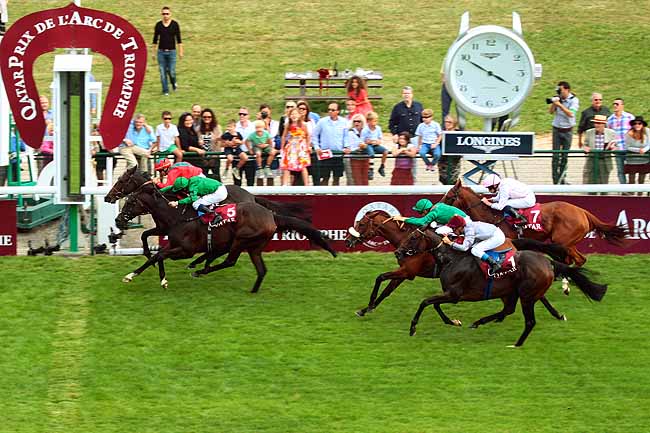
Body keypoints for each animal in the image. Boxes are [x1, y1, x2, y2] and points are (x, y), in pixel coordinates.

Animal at [116, 182, 336, 291]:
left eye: (131, 202)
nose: (118, 220)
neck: (177, 216)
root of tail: (271, 215)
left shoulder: (185, 250)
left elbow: (159, 254)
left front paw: (136, 276)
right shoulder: (171, 241)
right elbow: (156, 253)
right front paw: (155, 277)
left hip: (241, 240)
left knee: (229, 260)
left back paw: (200, 270)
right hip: (254, 246)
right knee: (261, 269)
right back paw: (252, 290)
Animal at [345, 210, 571, 320]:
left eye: (361, 224)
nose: (348, 240)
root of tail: (511, 241)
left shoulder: (406, 271)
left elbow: (380, 278)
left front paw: (366, 307)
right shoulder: (405, 273)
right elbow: (386, 290)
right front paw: (366, 309)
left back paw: (556, 313)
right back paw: (557, 313)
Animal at [397, 228, 607, 347]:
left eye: (413, 237)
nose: (398, 251)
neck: (452, 259)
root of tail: (548, 262)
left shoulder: (454, 294)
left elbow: (426, 302)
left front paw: (413, 328)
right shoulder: (451, 294)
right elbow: (434, 304)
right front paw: (453, 321)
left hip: (526, 295)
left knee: (529, 321)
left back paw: (517, 344)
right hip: (513, 292)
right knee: (509, 309)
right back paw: (479, 322)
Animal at [441, 179, 627, 267]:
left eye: (449, 196)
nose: (436, 206)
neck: (492, 216)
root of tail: (582, 212)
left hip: (563, 241)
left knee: (572, 260)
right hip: (568, 242)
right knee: (578, 260)